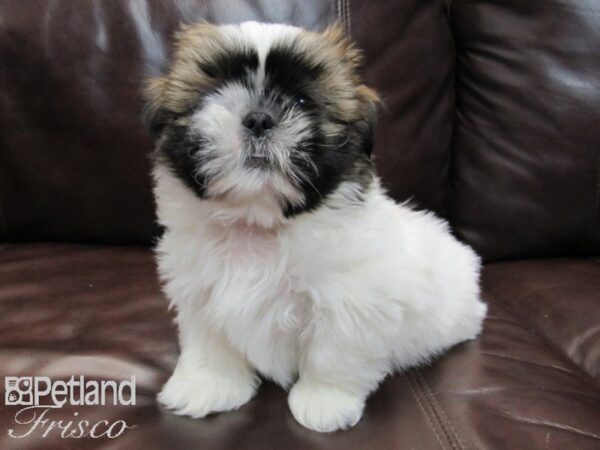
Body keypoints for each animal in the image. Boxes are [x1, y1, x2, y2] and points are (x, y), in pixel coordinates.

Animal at [145, 21, 488, 432]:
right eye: (215, 92)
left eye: (302, 102)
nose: (259, 118)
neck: (258, 224)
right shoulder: (199, 291)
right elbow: (210, 343)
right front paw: (206, 385)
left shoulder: (350, 299)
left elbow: (333, 352)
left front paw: (324, 402)